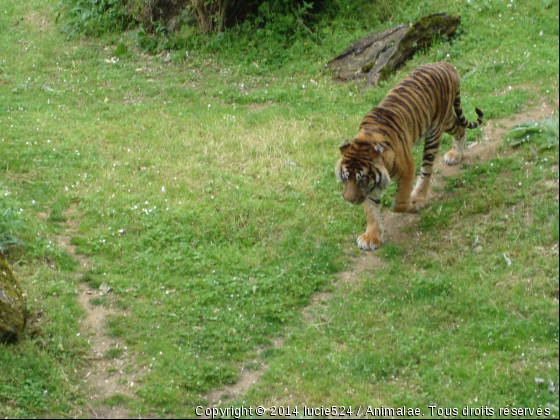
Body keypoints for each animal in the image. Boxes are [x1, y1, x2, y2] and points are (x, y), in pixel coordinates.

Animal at [334, 61, 484, 249]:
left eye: (361, 180)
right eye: (346, 178)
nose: (349, 199)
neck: (365, 140)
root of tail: (446, 64)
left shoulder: (407, 168)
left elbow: (399, 203)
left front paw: (412, 204)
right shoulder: (372, 184)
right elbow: (371, 210)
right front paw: (372, 237)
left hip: (434, 131)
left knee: (426, 170)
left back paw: (419, 196)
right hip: (447, 119)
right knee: (460, 127)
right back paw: (456, 154)